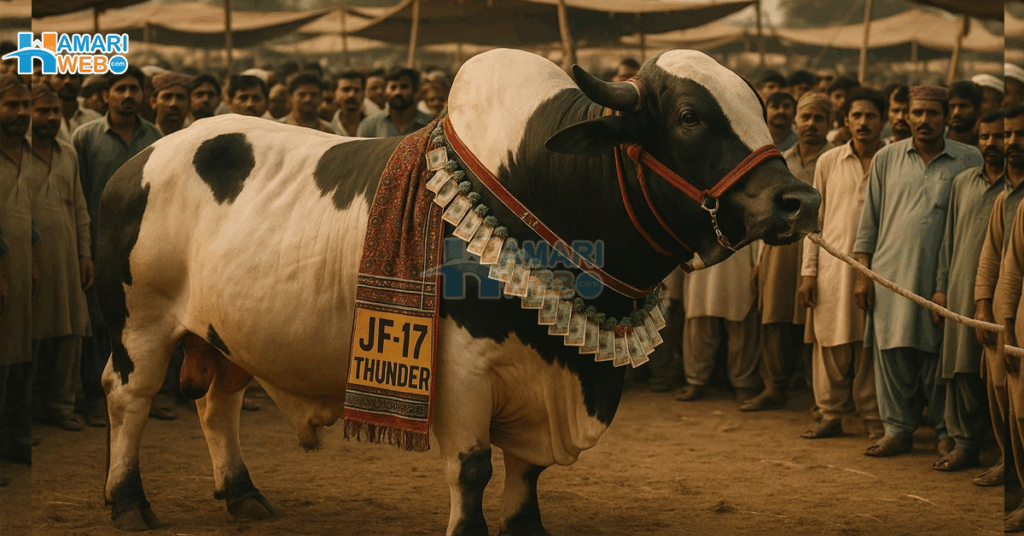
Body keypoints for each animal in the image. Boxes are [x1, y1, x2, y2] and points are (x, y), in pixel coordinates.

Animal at [98, 48, 820, 534]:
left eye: (762, 112)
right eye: (691, 116)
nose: (799, 200)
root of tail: (141, 159)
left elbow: (526, 475)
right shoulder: (464, 373)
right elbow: (472, 471)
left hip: (229, 334)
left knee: (215, 404)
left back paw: (243, 493)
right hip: (142, 324)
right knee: (127, 397)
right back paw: (129, 501)